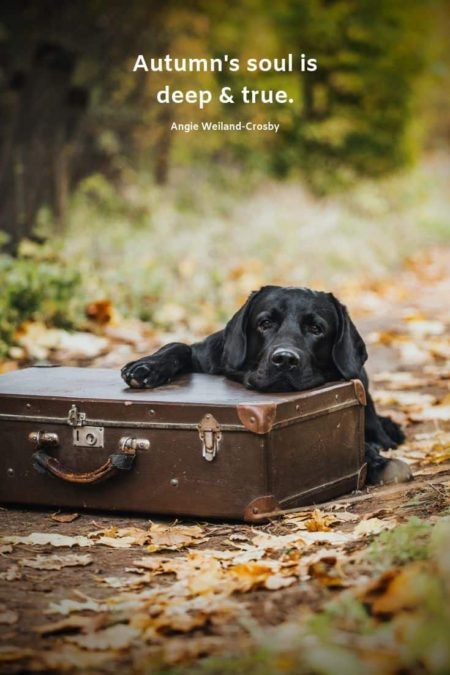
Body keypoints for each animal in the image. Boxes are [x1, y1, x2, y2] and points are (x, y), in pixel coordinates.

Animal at [122, 286, 412, 486]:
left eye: (316, 328)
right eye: (265, 323)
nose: (284, 359)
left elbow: (365, 444)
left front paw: (378, 461)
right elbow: (178, 346)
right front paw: (146, 367)